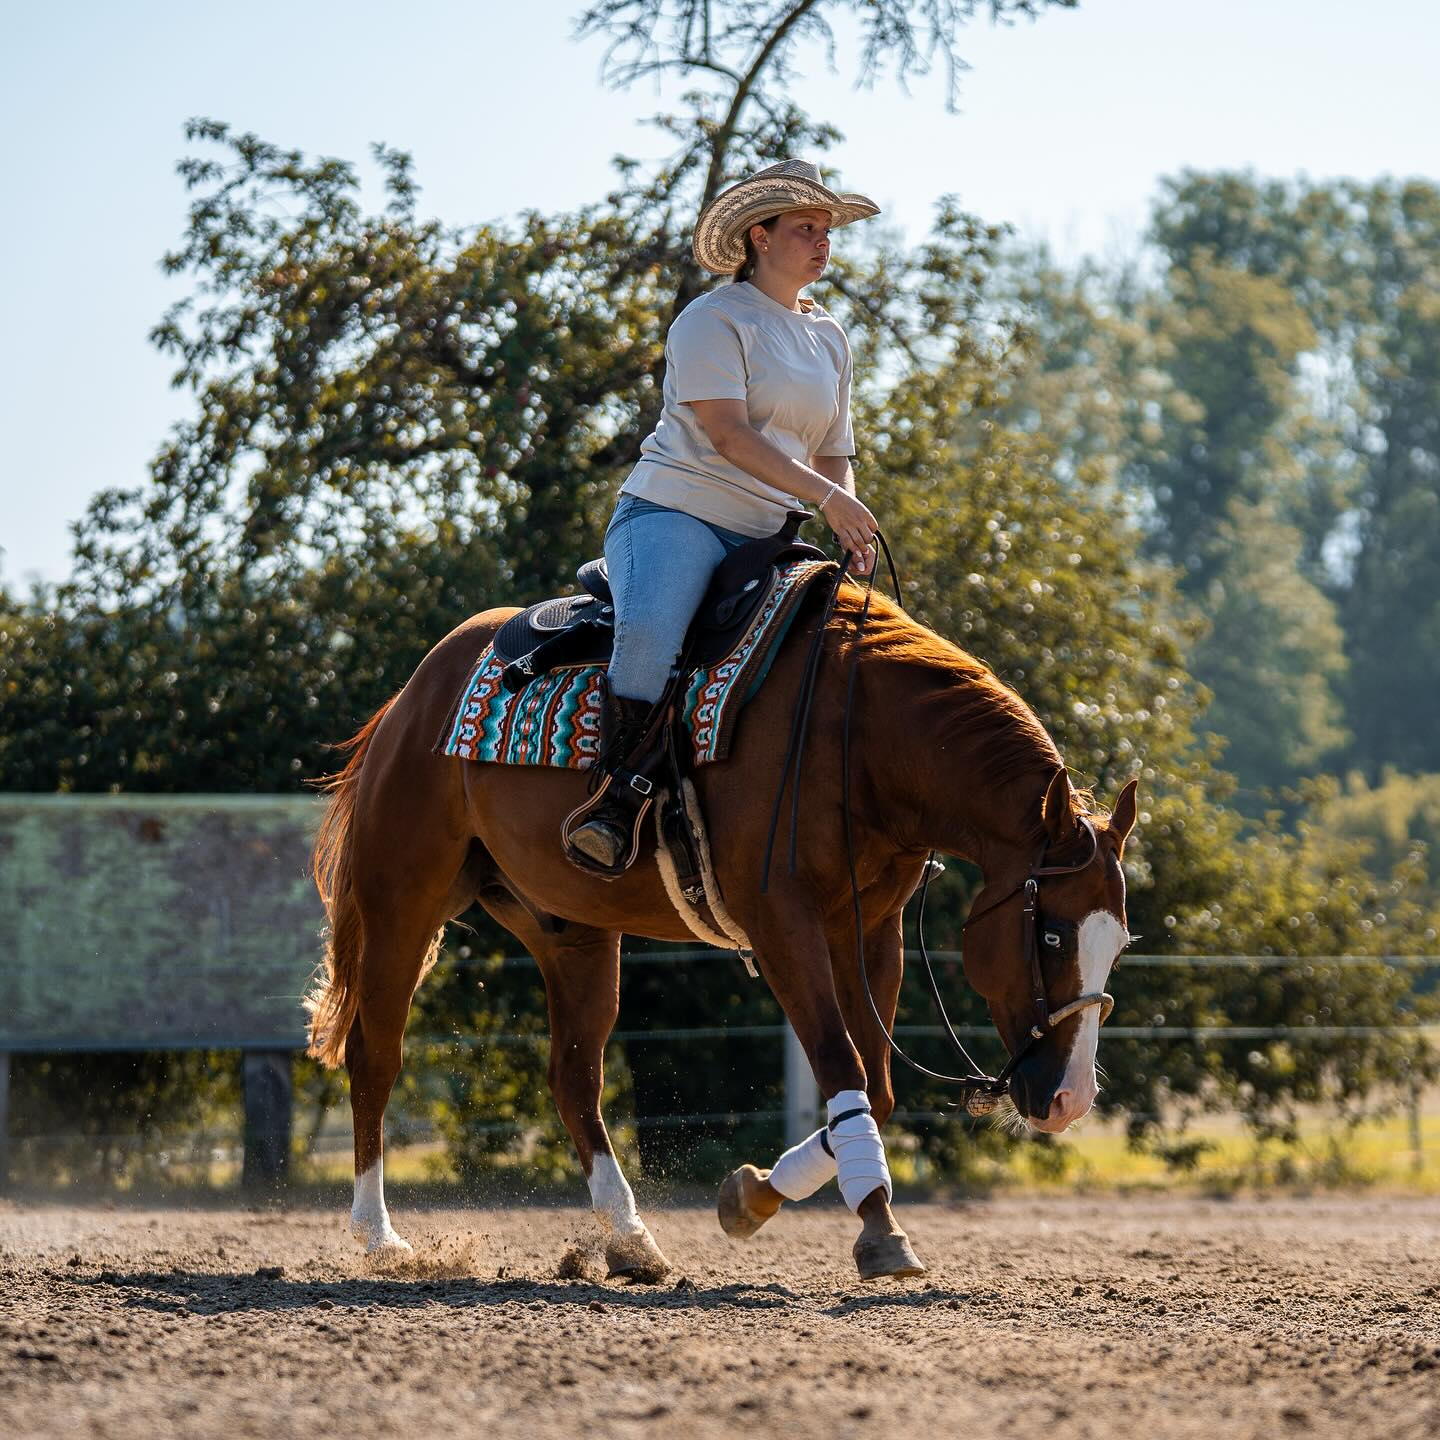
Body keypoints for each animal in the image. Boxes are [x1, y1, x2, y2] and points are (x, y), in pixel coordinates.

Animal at [303, 577, 1138, 1282]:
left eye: (1119, 945)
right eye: (1051, 935)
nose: (1070, 1101)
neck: (857, 736)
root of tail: (413, 697)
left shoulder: (870, 928)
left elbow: (873, 1088)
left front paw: (756, 1195)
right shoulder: (781, 922)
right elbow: (841, 1065)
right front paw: (880, 1232)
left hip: (570, 933)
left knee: (574, 1081)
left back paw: (631, 1240)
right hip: (401, 902)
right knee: (375, 1055)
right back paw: (380, 1238)